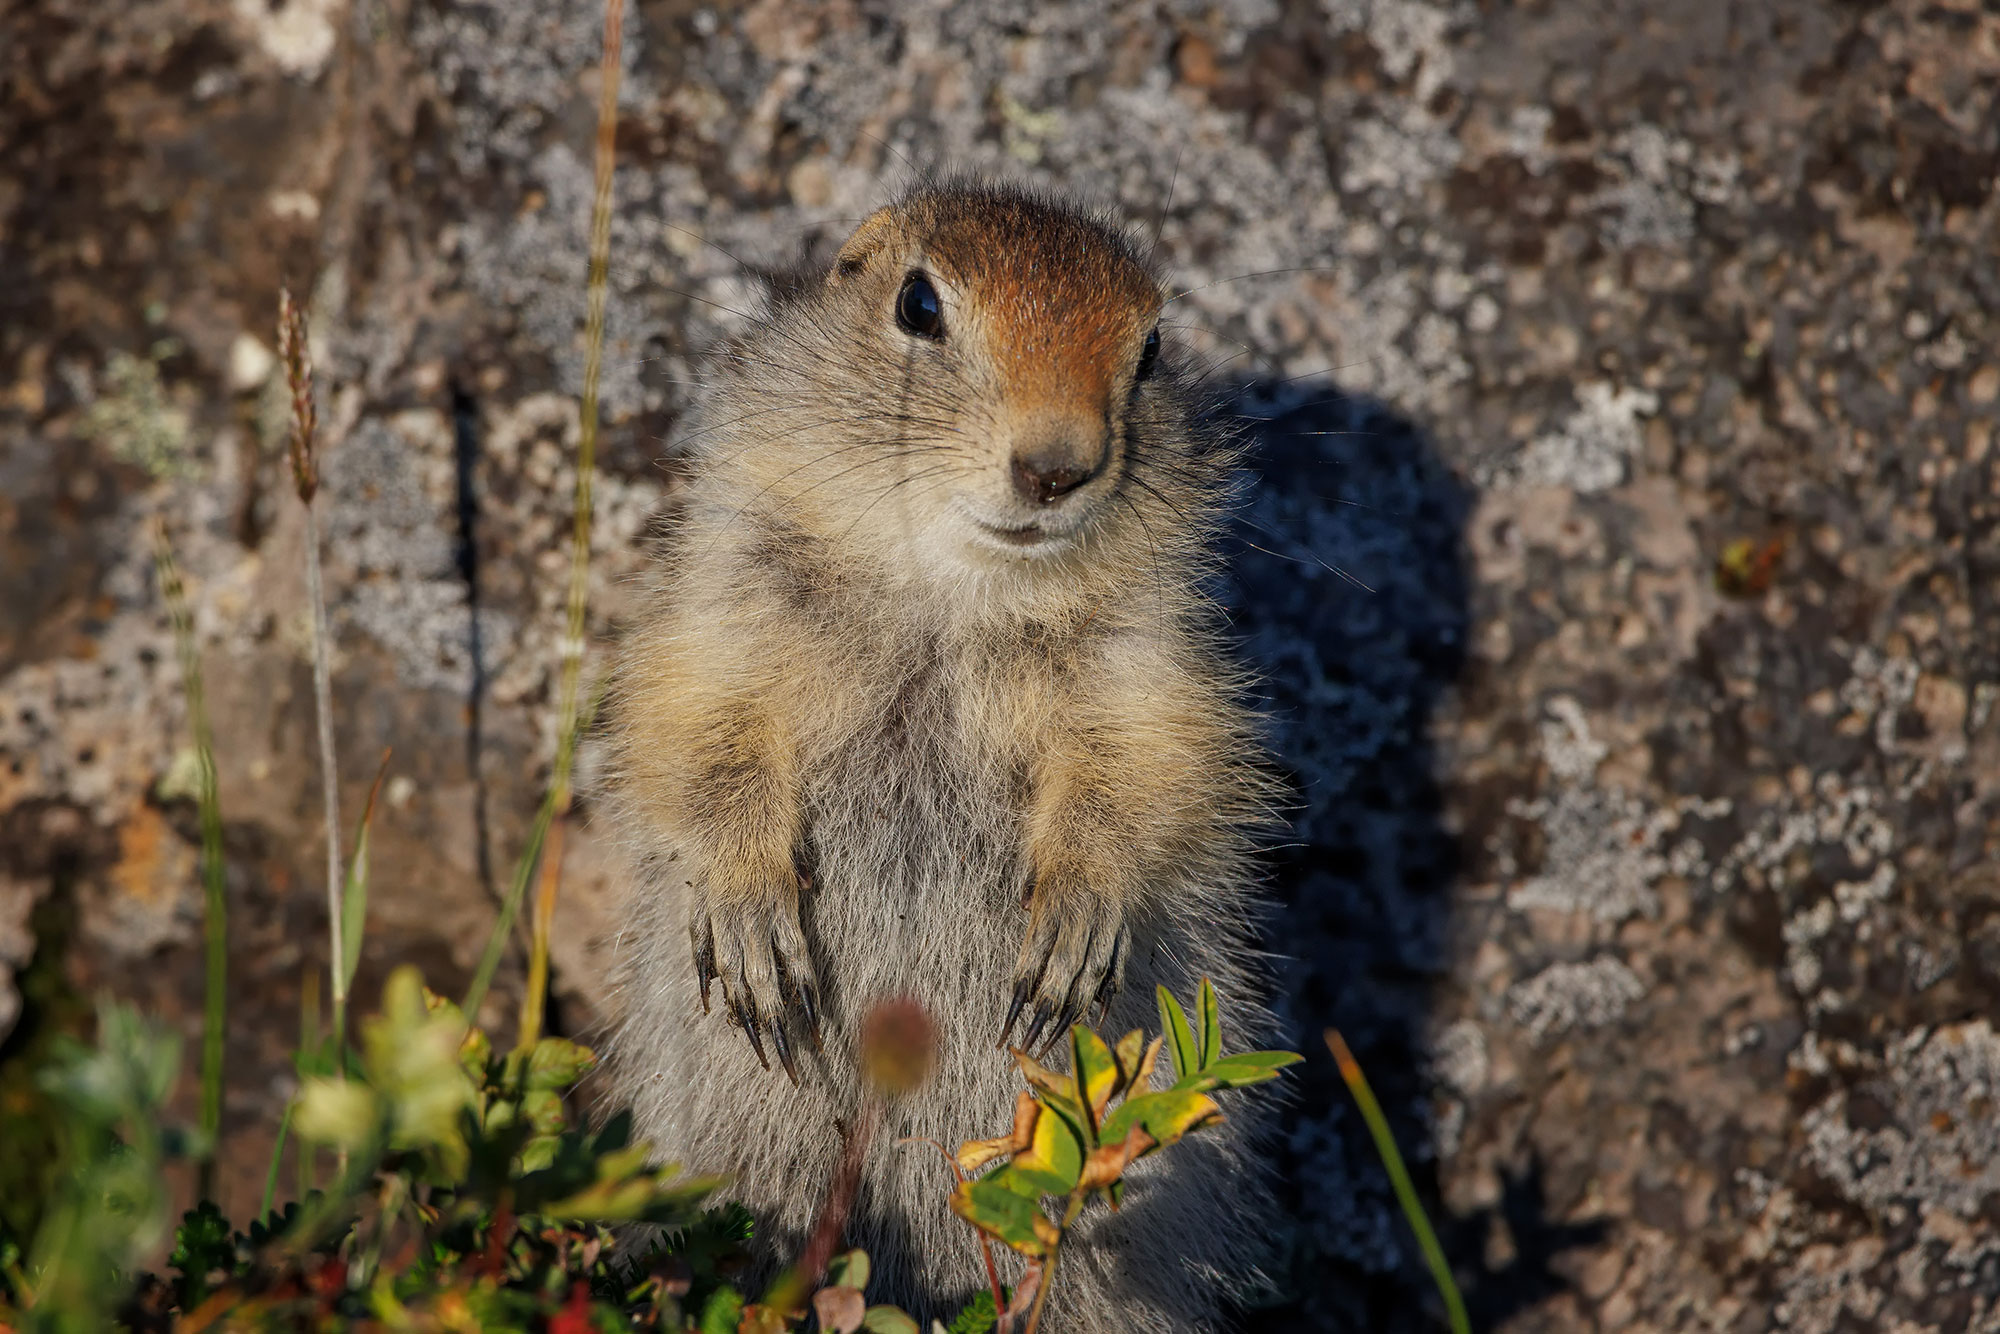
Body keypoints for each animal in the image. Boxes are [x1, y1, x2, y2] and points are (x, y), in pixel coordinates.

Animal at [600, 180, 1280, 1334]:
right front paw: (751, 926)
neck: (950, 594)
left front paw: (1070, 932)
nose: (1056, 465)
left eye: (1149, 348)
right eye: (919, 305)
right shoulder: (720, 606)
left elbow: (1139, 773)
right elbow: (700, 732)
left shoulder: (1148, 667)